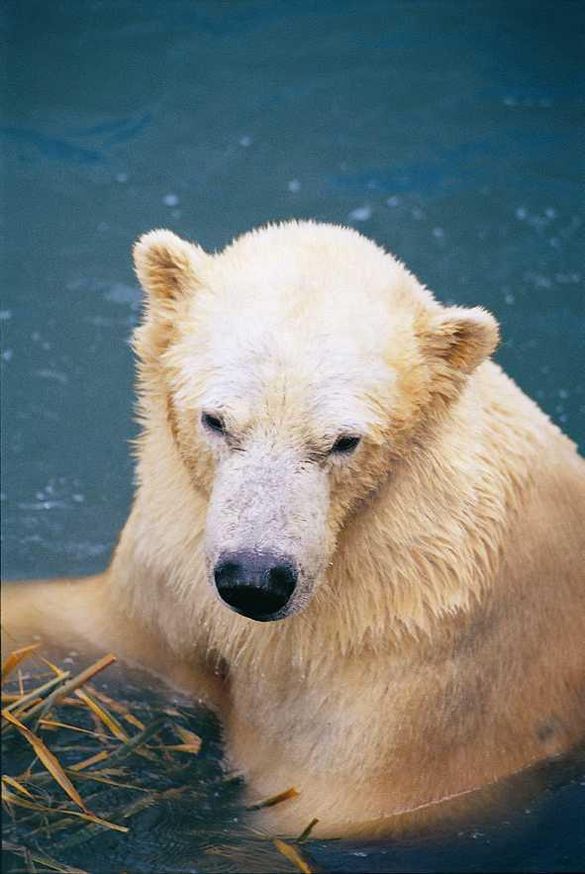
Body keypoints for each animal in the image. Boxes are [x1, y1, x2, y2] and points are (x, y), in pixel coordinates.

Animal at [3, 220, 585, 837]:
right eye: (215, 420)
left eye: (344, 441)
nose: (253, 580)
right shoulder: (165, 589)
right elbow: (82, 629)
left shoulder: (410, 673)